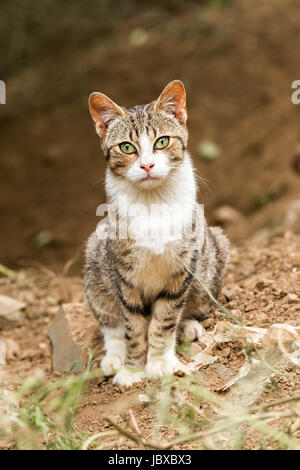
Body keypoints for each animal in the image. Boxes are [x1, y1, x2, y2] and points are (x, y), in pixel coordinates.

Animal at [83, 80, 229, 386]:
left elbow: (164, 319)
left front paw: (160, 362)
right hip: (95, 257)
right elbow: (133, 326)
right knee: (111, 323)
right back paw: (114, 356)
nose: (147, 165)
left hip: (214, 253)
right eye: (126, 147)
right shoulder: (123, 273)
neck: (153, 203)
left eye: (162, 141)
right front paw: (132, 369)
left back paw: (187, 326)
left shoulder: (182, 268)